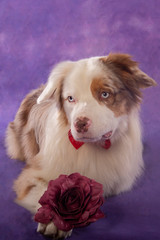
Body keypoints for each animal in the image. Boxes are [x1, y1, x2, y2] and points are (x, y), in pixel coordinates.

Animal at [5, 53, 156, 239]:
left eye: (105, 94)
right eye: (70, 98)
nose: (80, 124)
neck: (92, 147)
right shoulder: (33, 174)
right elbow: (45, 191)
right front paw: (54, 222)